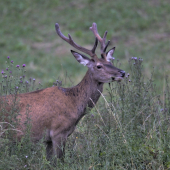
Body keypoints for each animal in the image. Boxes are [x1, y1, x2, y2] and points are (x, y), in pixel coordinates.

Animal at [0, 22, 125, 161]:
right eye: (99, 66)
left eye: (110, 61)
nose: (122, 73)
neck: (74, 103)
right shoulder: (58, 131)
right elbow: (60, 161)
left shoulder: (48, 139)